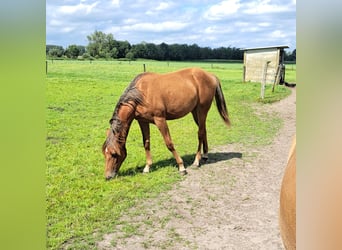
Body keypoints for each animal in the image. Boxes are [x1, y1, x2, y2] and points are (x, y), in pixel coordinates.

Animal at [101, 67, 230, 180]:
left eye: (114, 154)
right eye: (104, 153)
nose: (108, 176)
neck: (141, 94)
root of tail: (211, 75)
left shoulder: (160, 120)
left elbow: (169, 143)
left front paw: (181, 167)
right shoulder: (142, 121)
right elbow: (146, 143)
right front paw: (147, 167)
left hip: (202, 110)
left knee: (200, 133)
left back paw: (196, 161)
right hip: (195, 112)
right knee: (204, 131)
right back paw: (205, 155)